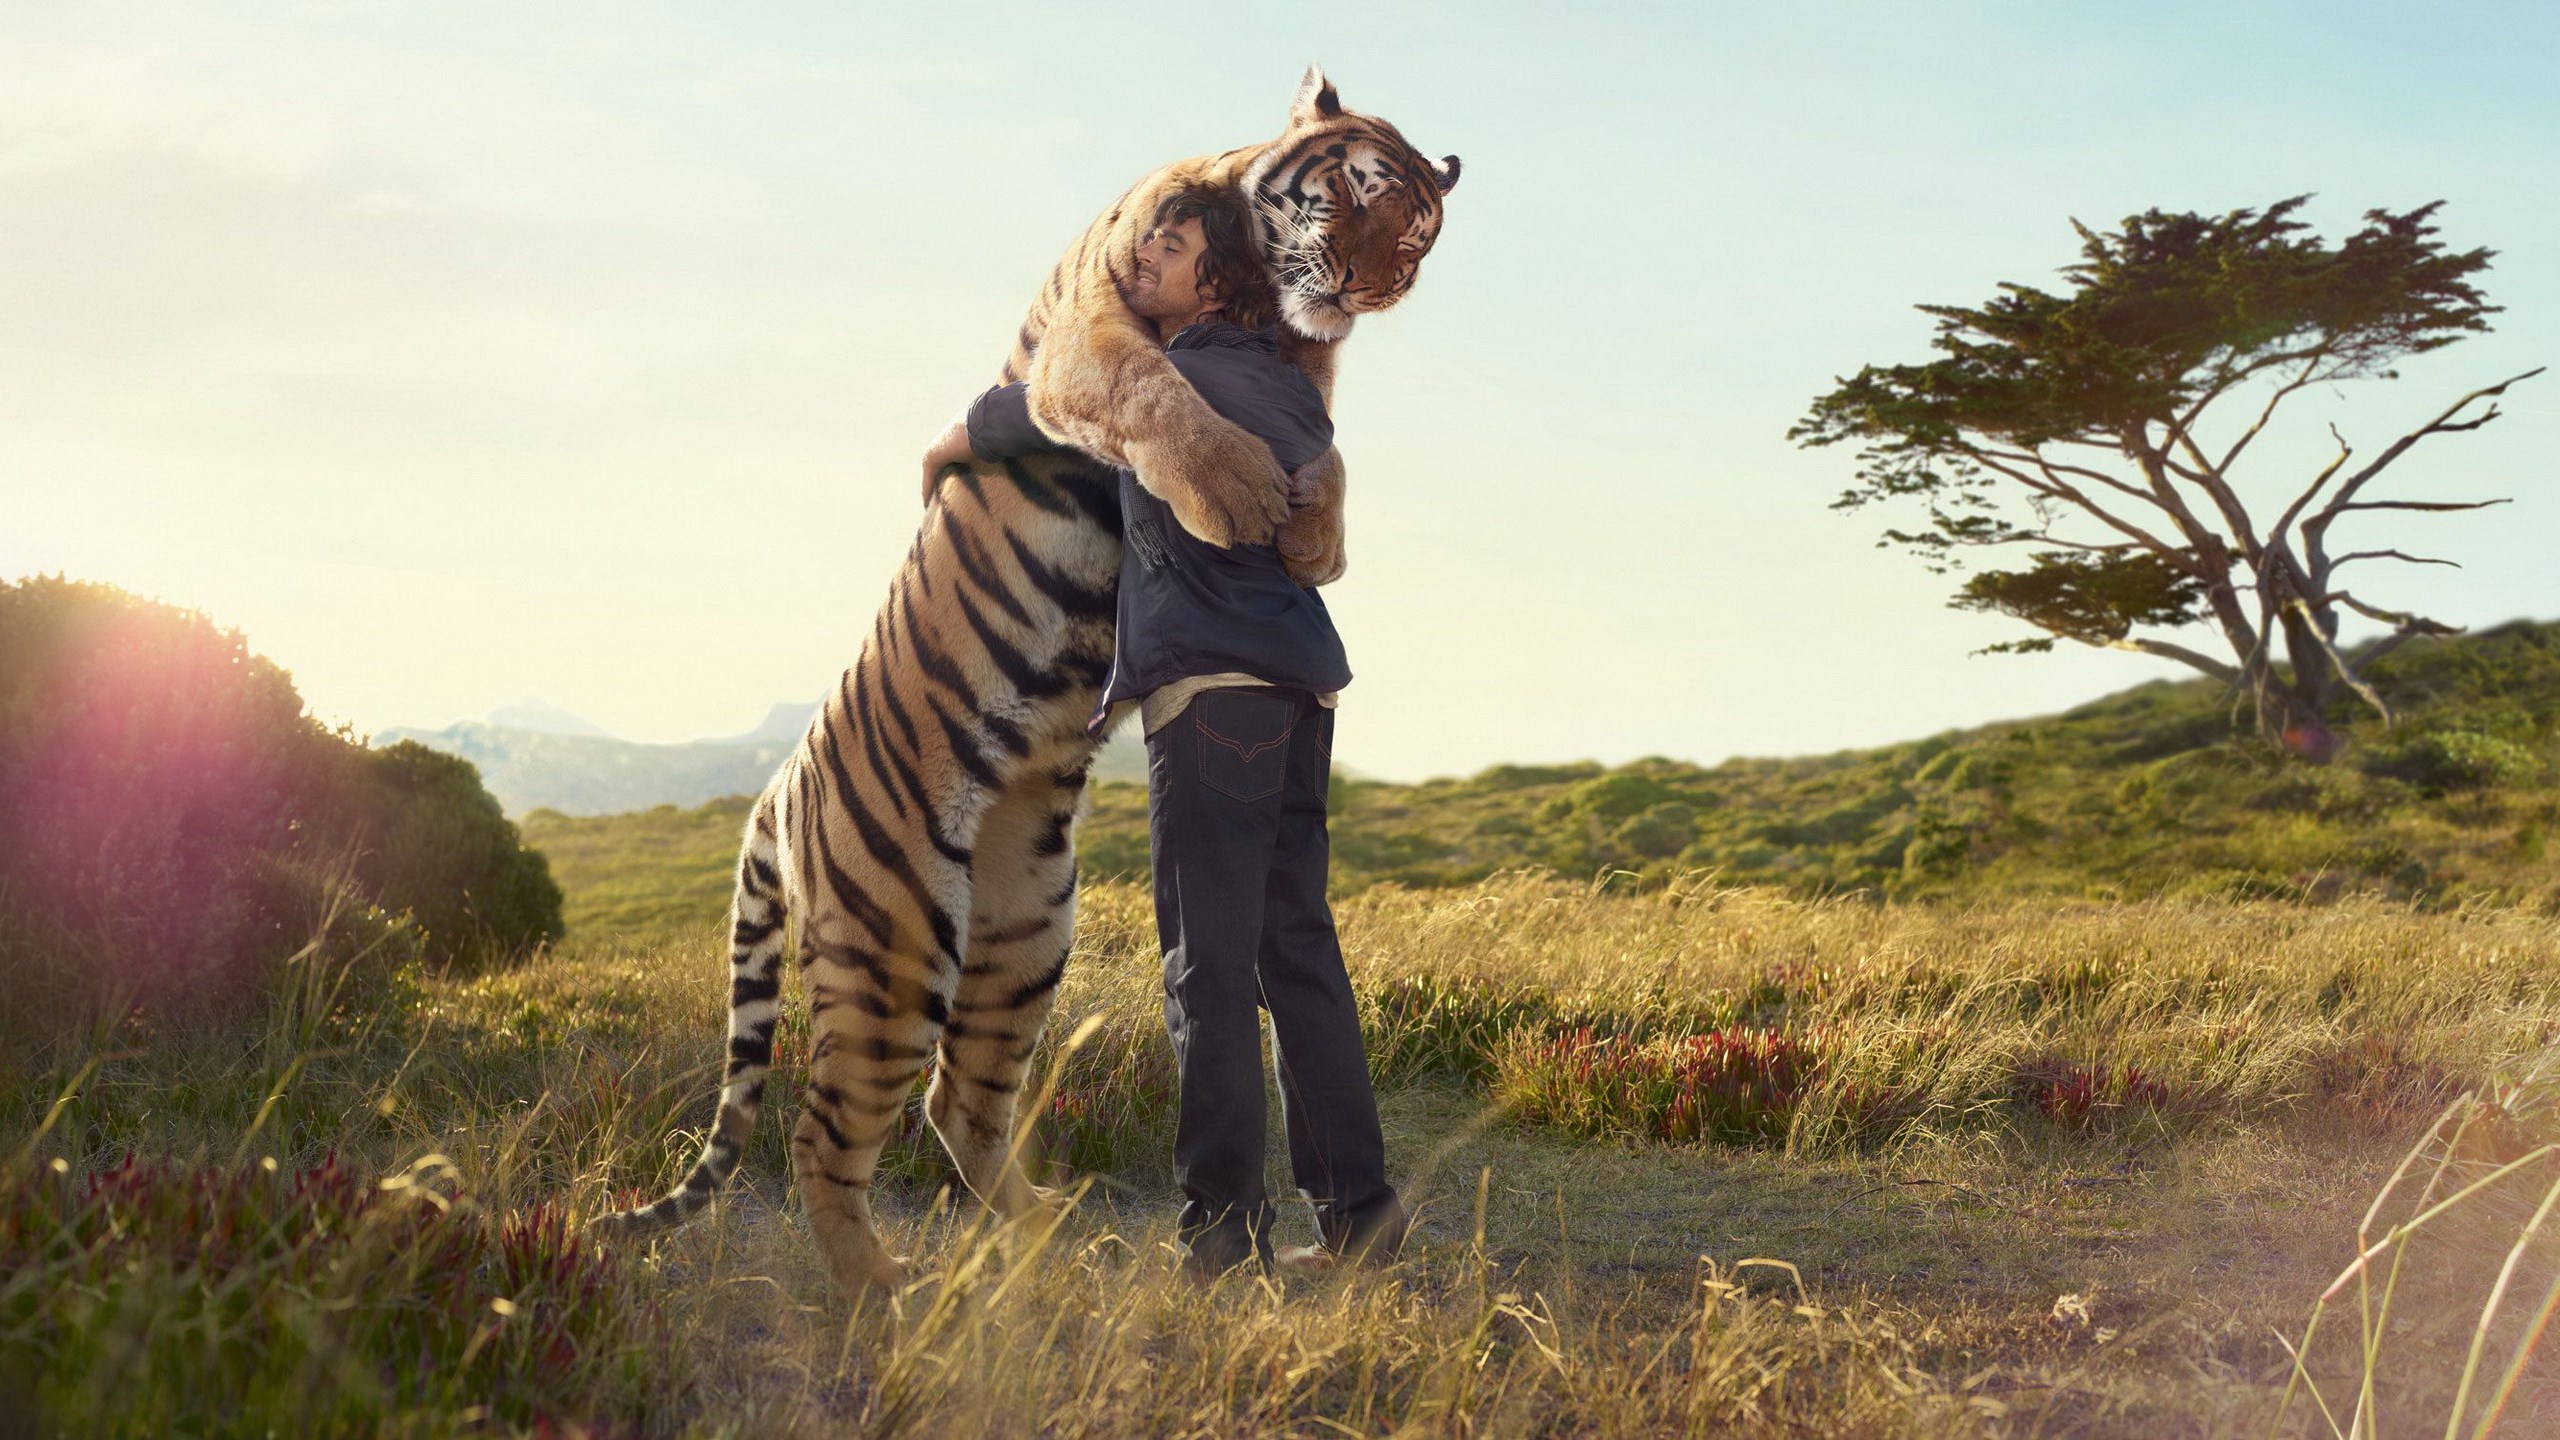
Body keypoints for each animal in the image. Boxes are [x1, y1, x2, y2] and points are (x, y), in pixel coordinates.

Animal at [591, 65, 1458, 1299]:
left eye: (1419, 237)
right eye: (1356, 194)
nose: (1367, 286)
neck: (1258, 298)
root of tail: (776, 788)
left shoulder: (1308, 375)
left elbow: (1326, 446)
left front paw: (1313, 536)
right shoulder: (1092, 337)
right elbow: (1156, 391)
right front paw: (1241, 495)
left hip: (1023, 935)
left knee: (958, 1101)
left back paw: (1050, 1233)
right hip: (897, 949)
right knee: (823, 1133)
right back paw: (885, 1291)